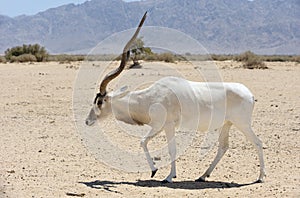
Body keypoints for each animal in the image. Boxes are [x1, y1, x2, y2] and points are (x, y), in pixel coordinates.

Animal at [85, 12, 264, 183]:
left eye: (99, 101)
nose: (87, 121)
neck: (149, 97)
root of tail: (249, 94)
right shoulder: (159, 126)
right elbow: (146, 142)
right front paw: (158, 171)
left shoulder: (167, 125)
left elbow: (165, 147)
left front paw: (165, 175)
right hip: (227, 124)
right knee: (223, 147)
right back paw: (202, 176)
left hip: (242, 123)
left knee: (257, 142)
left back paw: (261, 177)